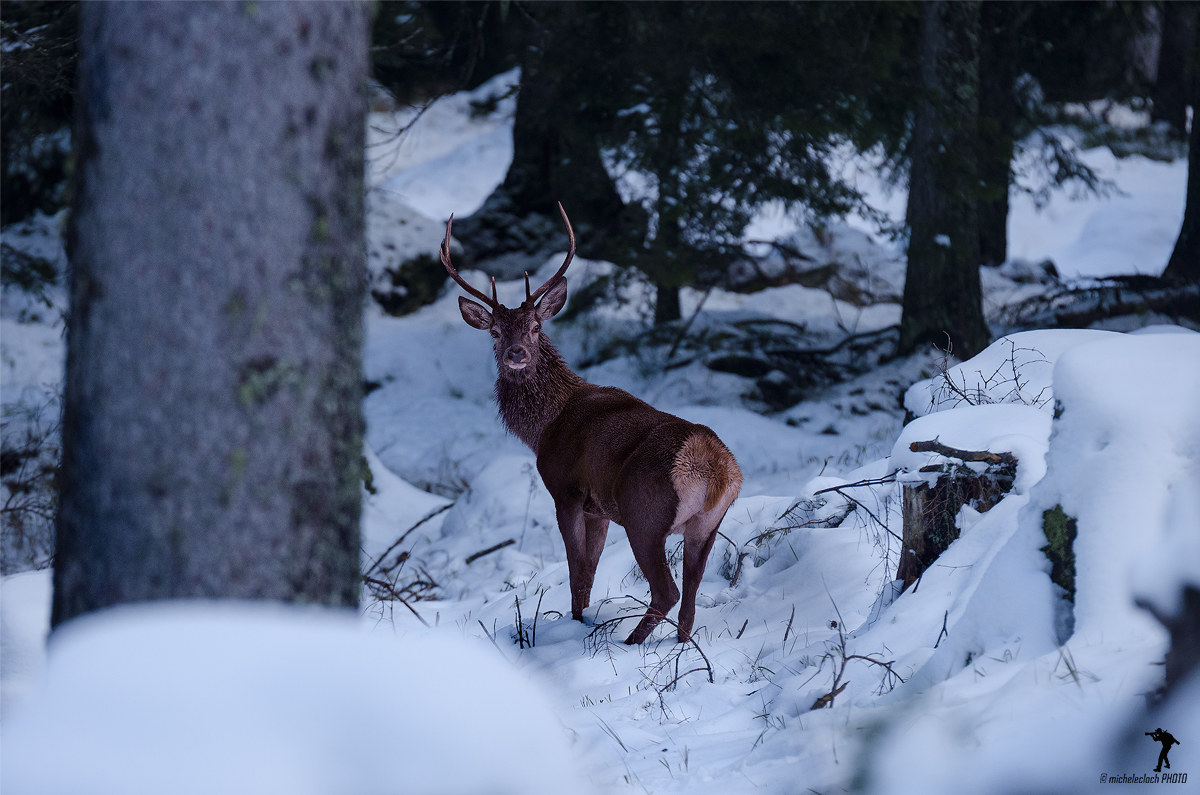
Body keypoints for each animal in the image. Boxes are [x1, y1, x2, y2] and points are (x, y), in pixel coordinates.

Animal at [439, 203, 742, 644]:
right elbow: (591, 571)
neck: (544, 425)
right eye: (495, 332)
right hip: (707, 525)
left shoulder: (566, 490)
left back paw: (628, 641)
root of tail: (716, 469)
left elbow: (576, 573)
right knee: (691, 594)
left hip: (644, 514)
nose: (516, 352)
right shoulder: (598, 509)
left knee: (666, 591)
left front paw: (574, 624)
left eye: (535, 327)